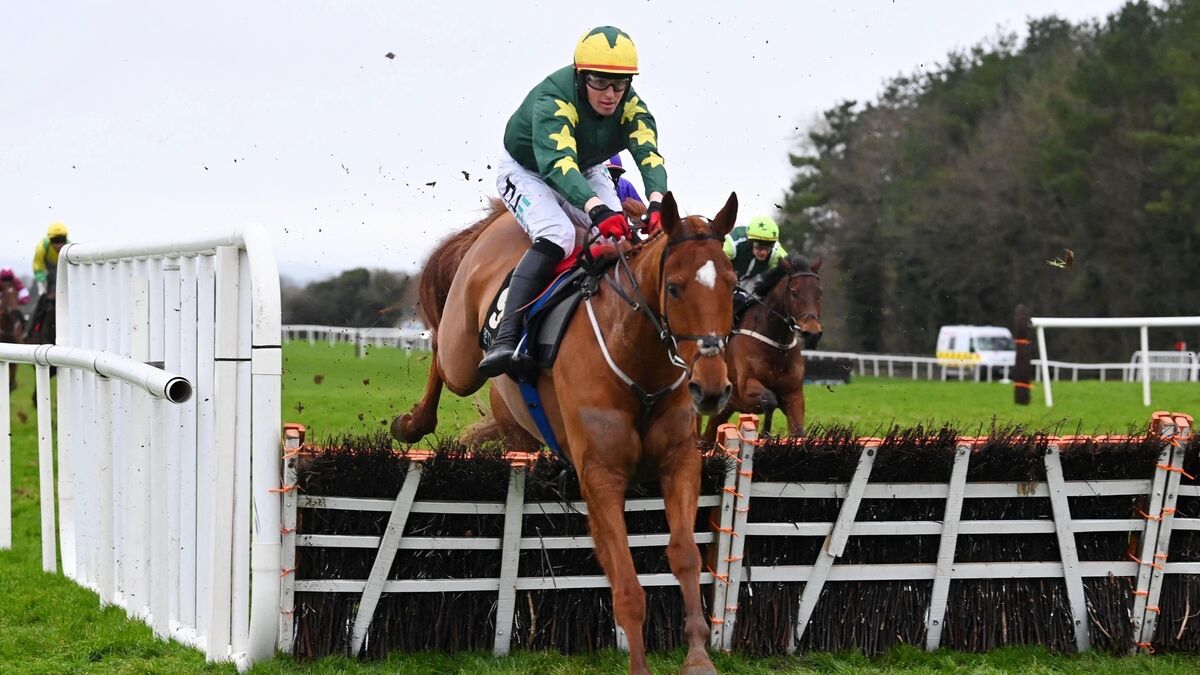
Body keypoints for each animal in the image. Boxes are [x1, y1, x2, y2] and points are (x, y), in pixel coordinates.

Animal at [394, 191, 738, 675]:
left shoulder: (679, 462)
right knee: (442, 353)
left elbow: (685, 555)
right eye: (674, 287)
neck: (638, 361)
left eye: (732, 285)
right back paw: (412, 423)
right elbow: (626, 585)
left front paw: (698, 657)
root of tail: (501, 220)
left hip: (515, 421)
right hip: (463, 353)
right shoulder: (601, 475)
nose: (711, 388)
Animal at [702, 254, 822, 443]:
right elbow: (770, 400)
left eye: (819, 292)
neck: (775, 347)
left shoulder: (794, 395)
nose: (812, 334)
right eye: (794, 292)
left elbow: (798, 431)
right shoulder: (745, 390)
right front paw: (765, 435)